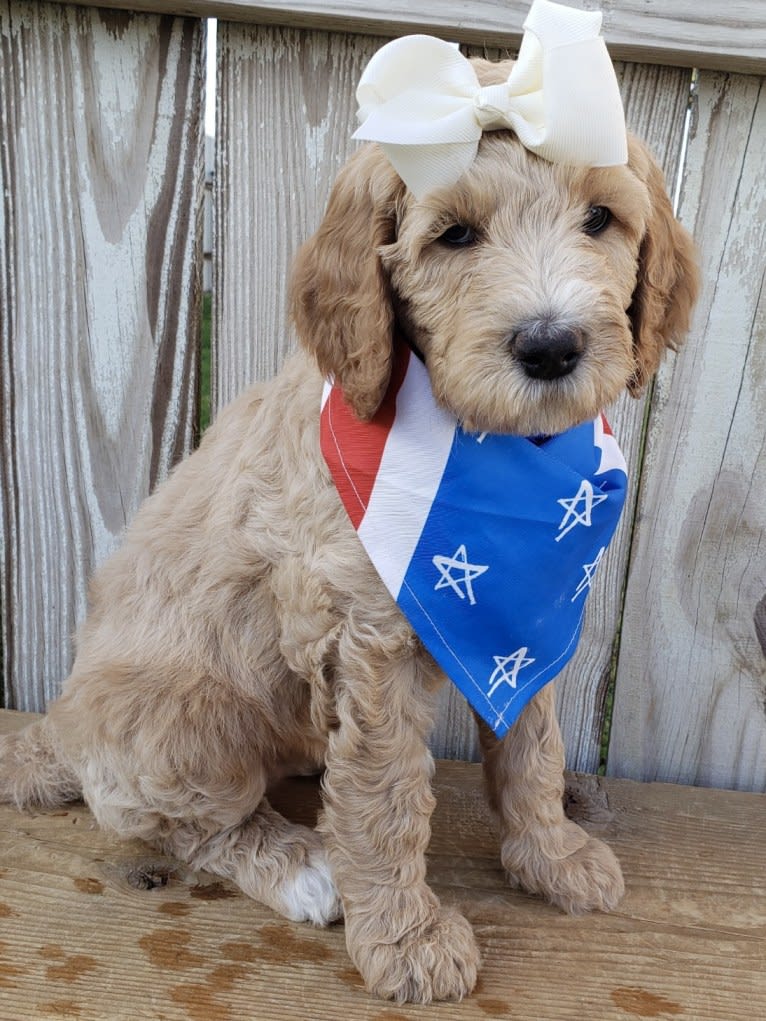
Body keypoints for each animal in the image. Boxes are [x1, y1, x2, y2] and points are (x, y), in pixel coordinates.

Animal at [0, 53, 694, 996]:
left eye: (601, 218)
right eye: (455, 237)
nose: (551, 346)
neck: (492, 446)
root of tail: (61, 733)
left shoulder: (524, 622)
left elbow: (534, 747)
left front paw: (550, 857)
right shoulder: (364, 637)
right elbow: (383, 791)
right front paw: (406, 938)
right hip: (183, 719)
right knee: (185, 824)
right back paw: (301, 866)